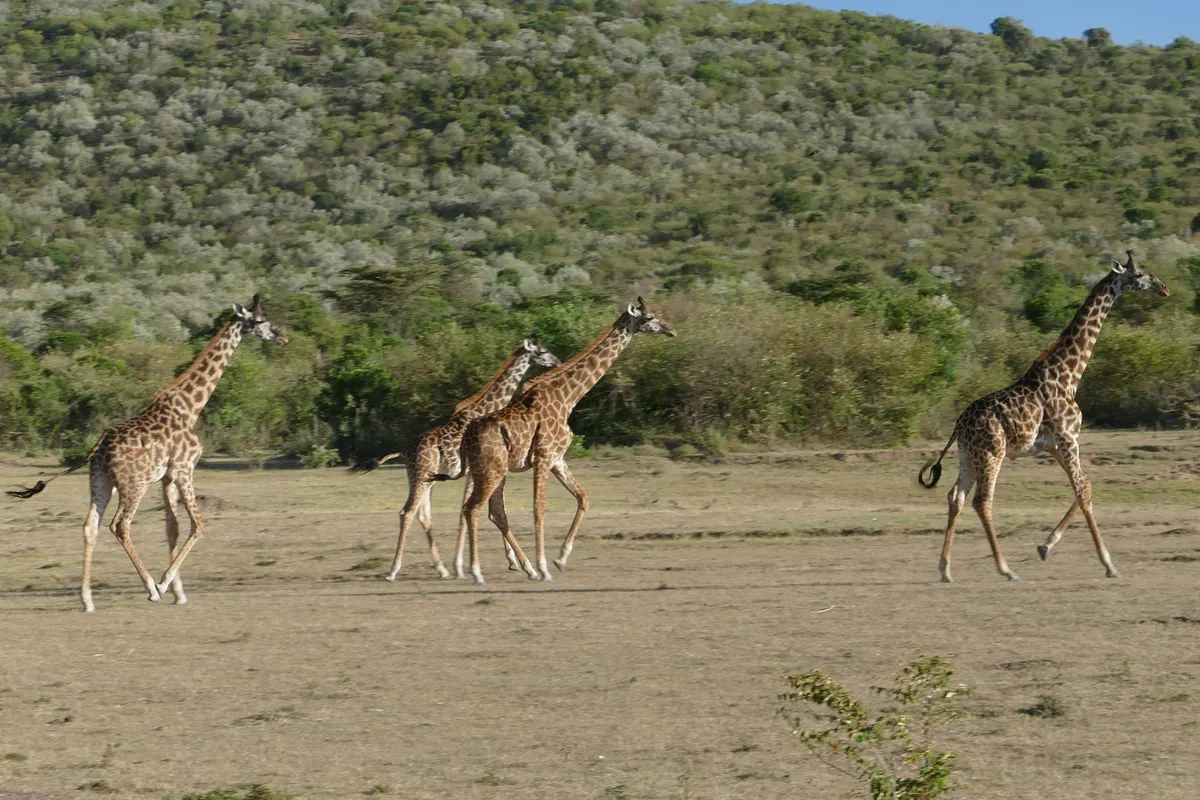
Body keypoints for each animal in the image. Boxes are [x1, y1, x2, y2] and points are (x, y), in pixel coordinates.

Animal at [8, 296, 287, 611]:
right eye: (261, 321)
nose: (283, 336)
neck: (191, 407)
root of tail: (99, 446)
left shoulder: (167, 477)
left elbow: (172, 527)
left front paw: (178, 592)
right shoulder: (184, 469)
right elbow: (198, 524)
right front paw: (164, 584)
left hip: (101, 482)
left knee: (90, 526)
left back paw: (87, 599)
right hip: (134, 484)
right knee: (120, 525)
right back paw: (150, 587)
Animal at [357, 338, 561, 581]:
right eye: (543, 351)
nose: (558, 361)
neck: (486, 408)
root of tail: (405, 452)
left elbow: (481, 510)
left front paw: (508, 562)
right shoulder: (474, 471)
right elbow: (473, 511)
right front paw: (471, 566)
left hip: (423, 479)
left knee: (422, 515)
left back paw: (441, 569)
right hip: (421, 477)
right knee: (407, 512)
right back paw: (393, 570)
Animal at [455, 297, 676, 585]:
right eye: (649, 317)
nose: (671, 330)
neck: (568, 398)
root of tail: (468, 437)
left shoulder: (558, 459)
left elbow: (583, 497)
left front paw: (560, 558)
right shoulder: (544, 456)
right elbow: (539, 509)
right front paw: (545, 567)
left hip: (494, 471)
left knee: (490, 511)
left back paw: (518, 567)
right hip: (490, 470)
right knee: (473, 509)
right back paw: (478, 572)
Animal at [918, 251, 1168, 582]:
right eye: (1139, 274)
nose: (1164, 288)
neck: (1069, 374)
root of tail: (958, 425)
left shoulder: (1055, 445)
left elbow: (1085, 486)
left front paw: (1046, 546)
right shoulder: (1068, 438)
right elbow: (1083, 491)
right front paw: (1109, 564)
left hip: (967, 456)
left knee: (955, 497)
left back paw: (945, 569)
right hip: (991, 454)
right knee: (981, 501)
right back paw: (1006, 569)